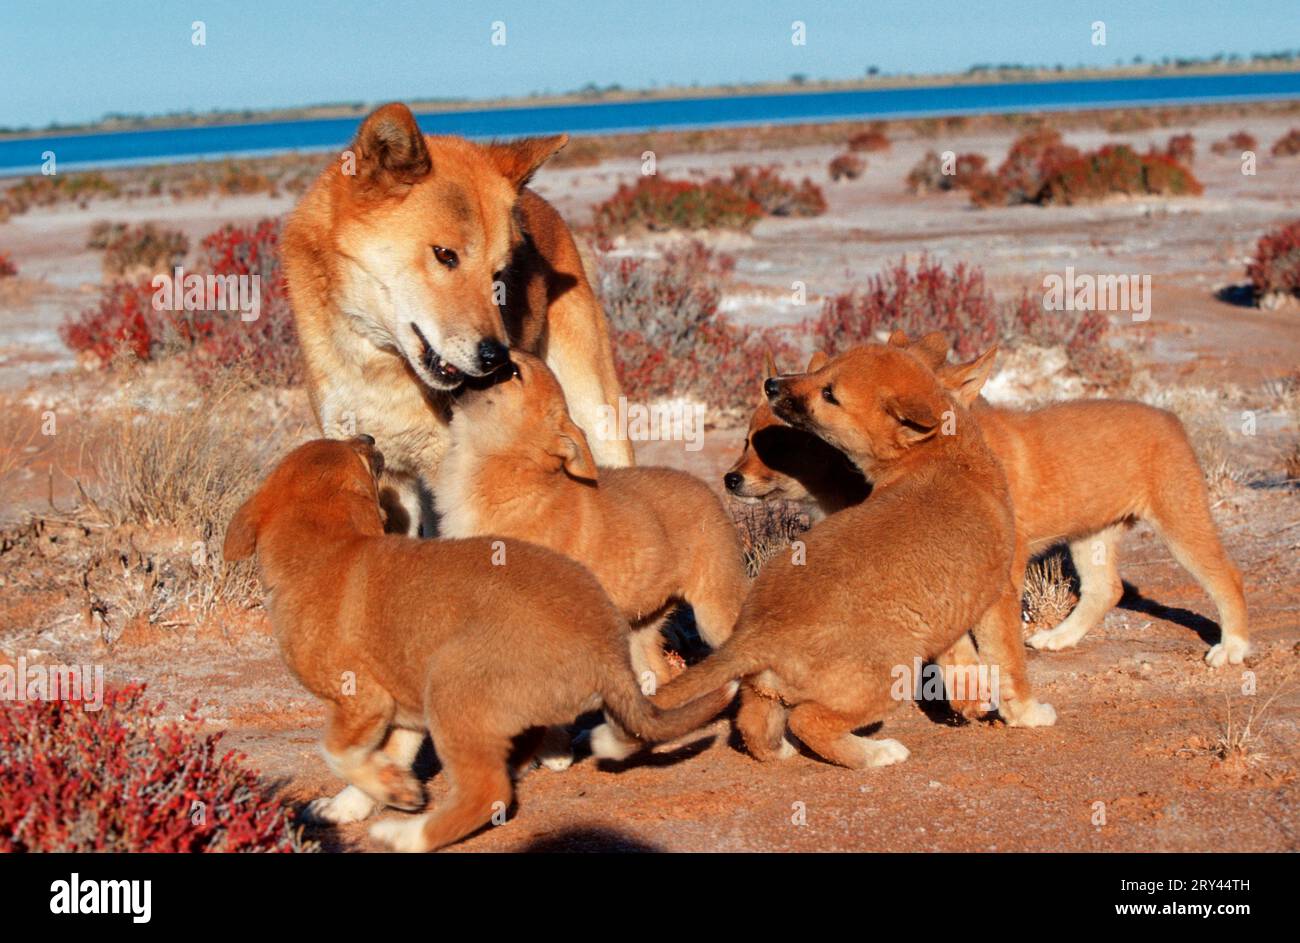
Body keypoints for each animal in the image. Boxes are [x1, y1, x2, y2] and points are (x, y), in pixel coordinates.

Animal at [222, 437, 733, 848]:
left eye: (361, 456)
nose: (368, 437)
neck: (324, 549)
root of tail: (606, 649)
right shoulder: (404, 709)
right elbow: (382, 759)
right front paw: (363, 799)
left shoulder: (362, 700)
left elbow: (337, 751)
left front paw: (388, 794)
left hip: (451, 682)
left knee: (485, 793)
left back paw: (408, 837)